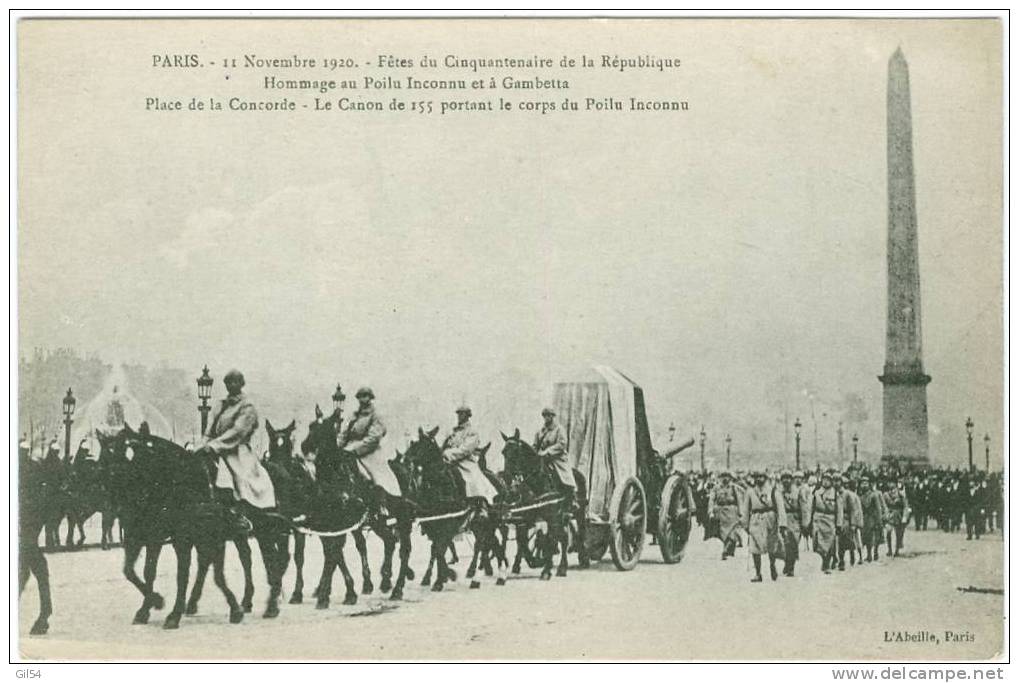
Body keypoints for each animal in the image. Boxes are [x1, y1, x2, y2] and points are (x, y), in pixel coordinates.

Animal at [499, 430, 591, 579]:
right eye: (503, 452)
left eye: (516, 451)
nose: (507, 477)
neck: (539, 481)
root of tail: (578, 473)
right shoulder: (530, 516)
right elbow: (526, 540)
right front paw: (535, 563)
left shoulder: (552, 516)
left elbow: (550, 539)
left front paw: (546, 569)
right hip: (563, 516)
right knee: (564, 537)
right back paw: (562, 567)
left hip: (578, 512)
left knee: (578, 533)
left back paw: (582, 560)